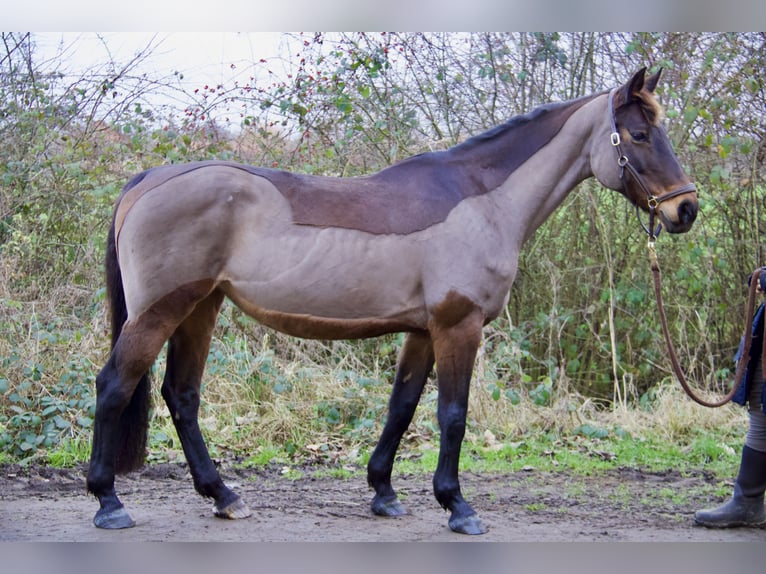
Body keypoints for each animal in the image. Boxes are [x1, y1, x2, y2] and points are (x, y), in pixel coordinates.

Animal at [86, 67, 698, 535]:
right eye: (638, 134)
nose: (685, 210)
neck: (483, 201)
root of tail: (147, 181)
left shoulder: (423, 330)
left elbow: (401, 407)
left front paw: (383, 491)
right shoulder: (458, 326)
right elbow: (453, 415)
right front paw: (458, 506)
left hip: (201, 308)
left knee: (182, 396)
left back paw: (223, 496)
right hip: (161, 311)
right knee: (115, 385)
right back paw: (109, 502)